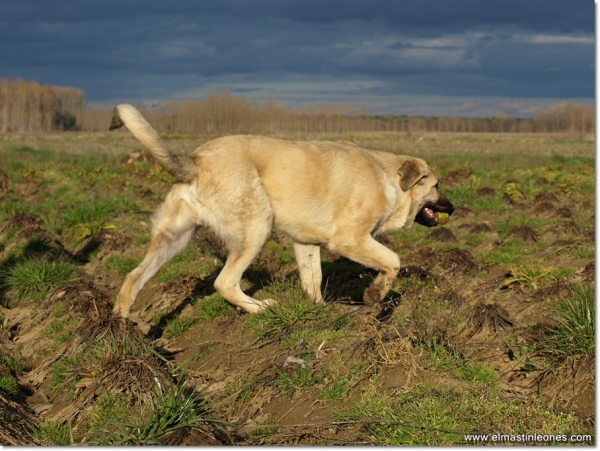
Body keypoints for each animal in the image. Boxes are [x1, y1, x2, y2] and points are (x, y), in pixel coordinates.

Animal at [109, 105, 454, 318]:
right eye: (436, 186)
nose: (454, 207)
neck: (387, 177)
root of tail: (194, 162)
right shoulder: (350, 239)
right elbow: (392, 261)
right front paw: (375, 295)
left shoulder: (306, 244)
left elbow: (313, 280)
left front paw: (319, 312)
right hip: (256, 228)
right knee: (225, 283)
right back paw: (262, 308)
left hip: (174, 239)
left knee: (132, 279)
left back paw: (123, 328)